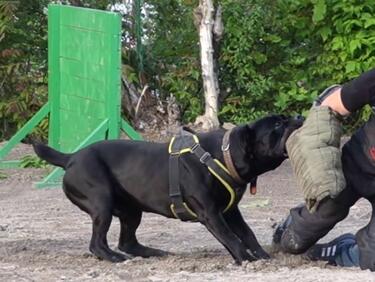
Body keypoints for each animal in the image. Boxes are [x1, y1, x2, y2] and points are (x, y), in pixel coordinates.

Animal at [33, 115, 304, 264]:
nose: (300, 116)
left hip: (131, 211)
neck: (222, 155)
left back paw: (154, 253)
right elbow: (230, 237)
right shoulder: (210, 213)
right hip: (102, 202)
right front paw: (246, 259)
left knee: (127, 242)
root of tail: (71, 158)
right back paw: (114, 258)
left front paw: (262, 256)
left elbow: (247, 233)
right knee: (97, 243)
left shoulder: (230, 211)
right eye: (277, 125)